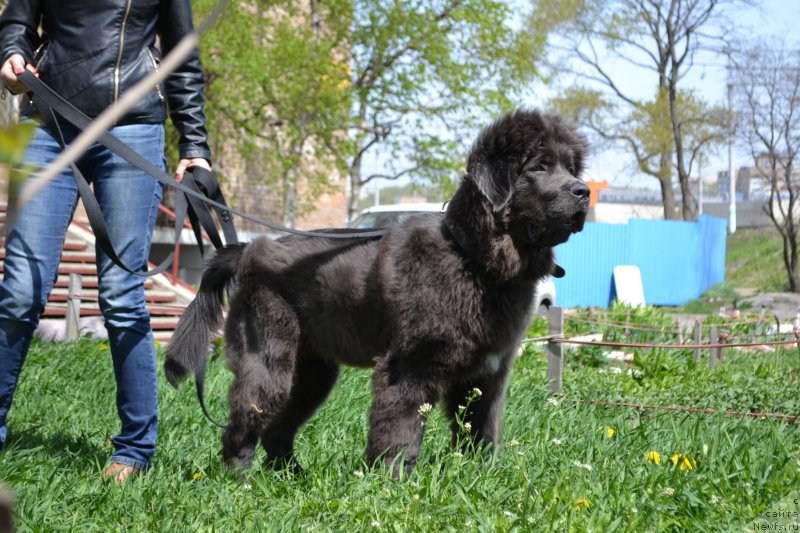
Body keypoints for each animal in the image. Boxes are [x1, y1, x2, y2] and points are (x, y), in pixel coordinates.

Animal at [164, 110, 588, 476]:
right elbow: (400, 428)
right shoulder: (410, 364)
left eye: (570, 168)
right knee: (246, 417)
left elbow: (481, 429)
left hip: (313, 371)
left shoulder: (489, 372)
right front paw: (392, 481)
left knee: (278, 427)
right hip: (268, 357)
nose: (583, 191)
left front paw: (478, 476)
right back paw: (239, 478)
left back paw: (292, 476)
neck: (472, 257)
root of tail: (250, 249)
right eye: (538, 166)